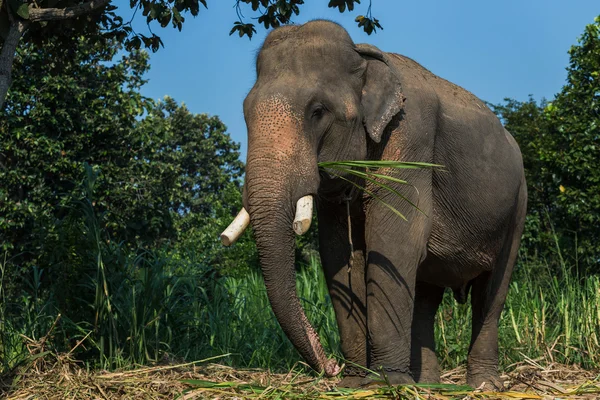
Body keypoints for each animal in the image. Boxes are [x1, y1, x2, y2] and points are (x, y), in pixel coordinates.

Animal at [223, 20, 528, 390]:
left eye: (318, 112)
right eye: (245, 114)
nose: (331, 366)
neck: (363, 56)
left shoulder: (410, 136)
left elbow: (394, 243)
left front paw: (384, 382)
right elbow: (339, 254)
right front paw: (356, 383)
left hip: (518, 204)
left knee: (492, 291)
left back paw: (482, 385)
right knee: (425, 292)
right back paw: (427, 385)